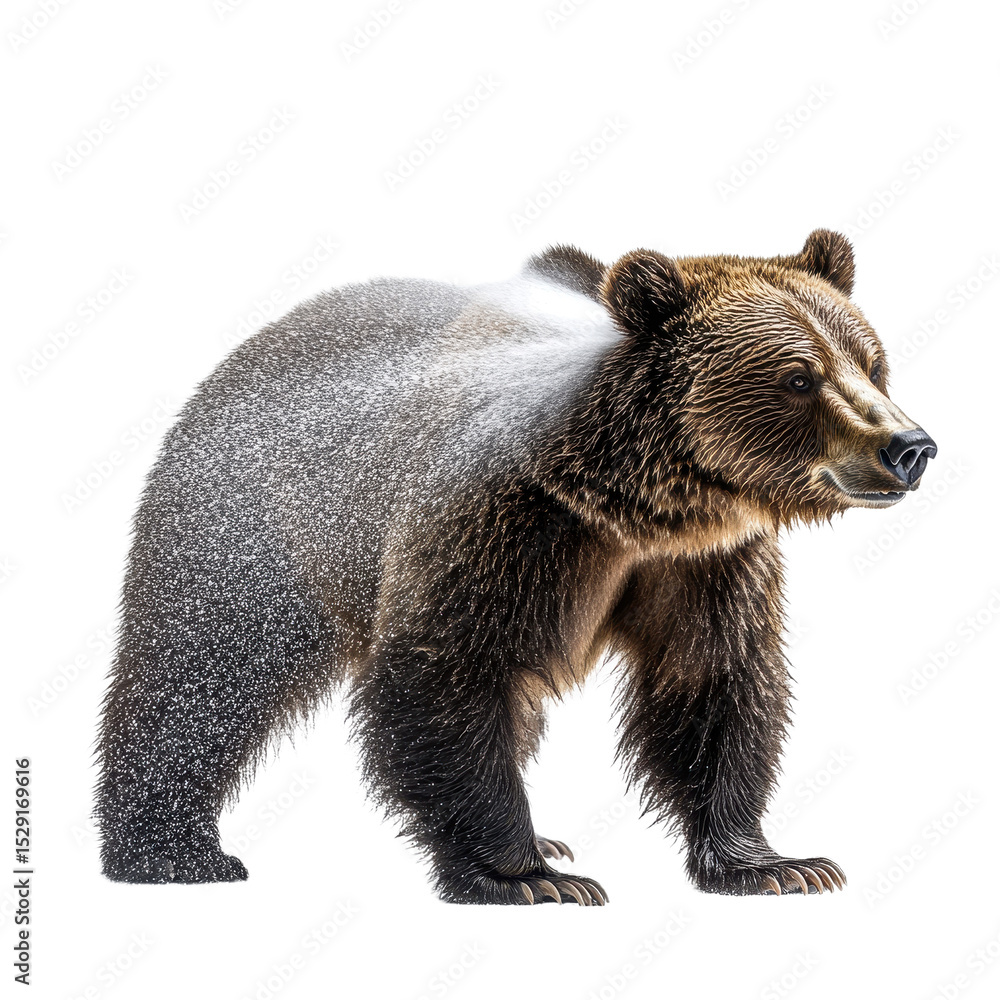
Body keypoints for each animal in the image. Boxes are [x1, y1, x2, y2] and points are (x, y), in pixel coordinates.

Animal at [96, 230, 936, 904]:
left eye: (872, 362)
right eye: (798, 376)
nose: (908, 446)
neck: (628, 503)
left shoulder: (700, 563)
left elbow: (711, 682)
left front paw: (776, 864)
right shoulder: (500, 523)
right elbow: (449, 673)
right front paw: (526, 875)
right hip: (254, 527)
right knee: (201, 675)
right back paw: (172, 851)